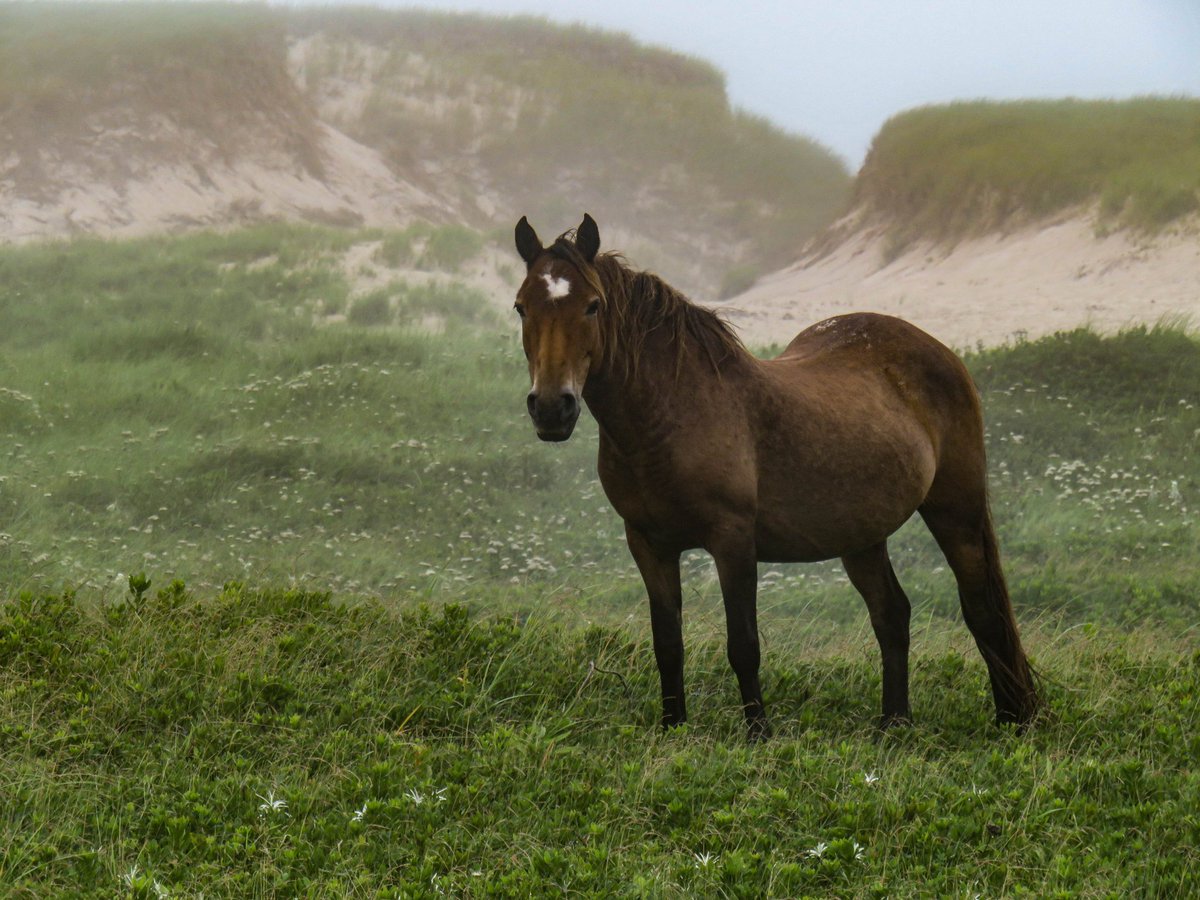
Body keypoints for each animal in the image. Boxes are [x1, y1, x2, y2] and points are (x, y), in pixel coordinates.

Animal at [512, 213, 1040, 741]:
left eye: (593, 305)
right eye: (521, 307)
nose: (552, 409)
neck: (673, 413)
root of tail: (941, 353)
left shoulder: (733, 541)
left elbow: (743, 644)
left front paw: (758, 734)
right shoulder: (648, 545)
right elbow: (667, 644)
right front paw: (673, 726)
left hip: (956, 512)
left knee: (981, 610)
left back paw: (1011, 719)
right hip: (861, 536)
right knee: (892, 614)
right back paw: (893, 724)